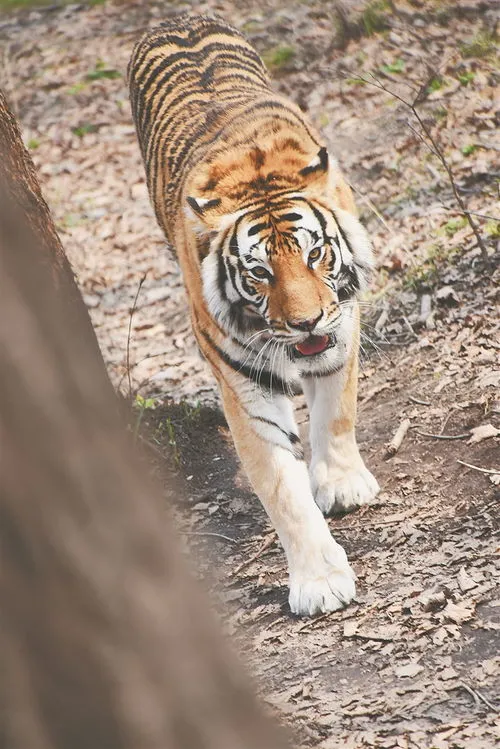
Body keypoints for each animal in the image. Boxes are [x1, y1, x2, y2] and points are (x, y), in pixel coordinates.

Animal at [129, 14, 378, 616]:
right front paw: (320, 582)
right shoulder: (243, 380)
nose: (306, 322)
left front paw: (340, 483)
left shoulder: (342, 326)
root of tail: (175, 18)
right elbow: (280, 488)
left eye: (315, 254)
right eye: (259, 272)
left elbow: (337, 411)